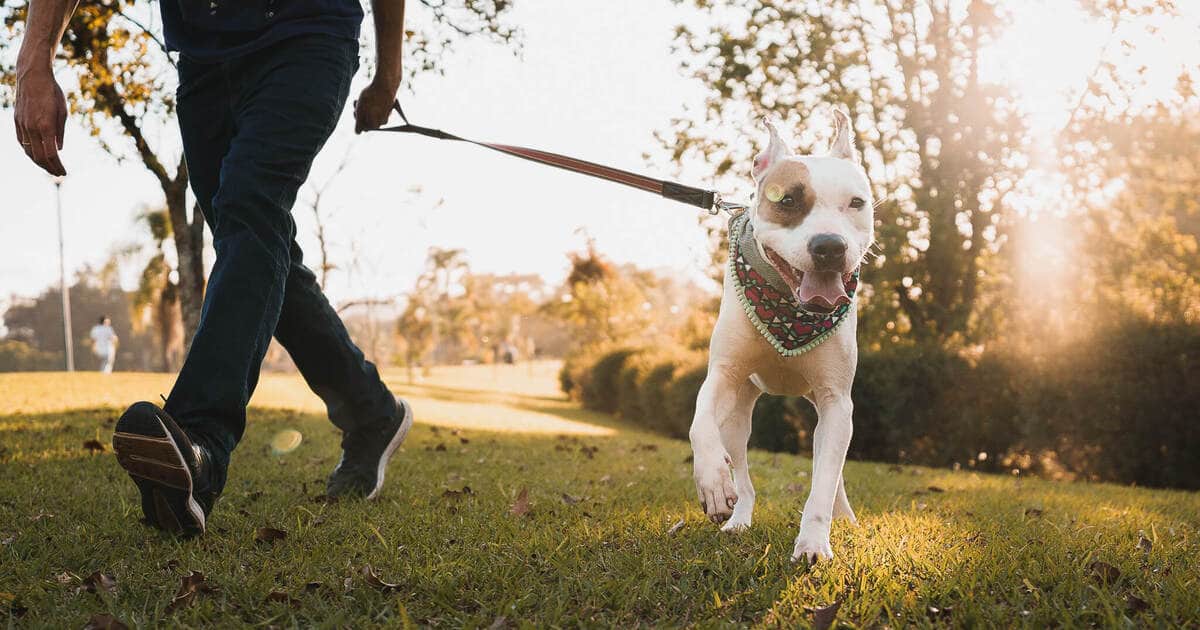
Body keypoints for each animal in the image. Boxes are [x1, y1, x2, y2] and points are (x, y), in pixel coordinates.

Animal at [691, 110, 878, 561]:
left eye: (856, 203)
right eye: (787, 200)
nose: (830, 246)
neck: (790, 315)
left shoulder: (836, 401)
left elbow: (824, 481)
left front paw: (813, 542)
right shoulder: (723, 375)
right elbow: (699, 421)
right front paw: (712, 481)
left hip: (828, 417)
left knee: (832, 469)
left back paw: (843, 517)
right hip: (738, 418)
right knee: (743, 473)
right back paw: (738, 517)